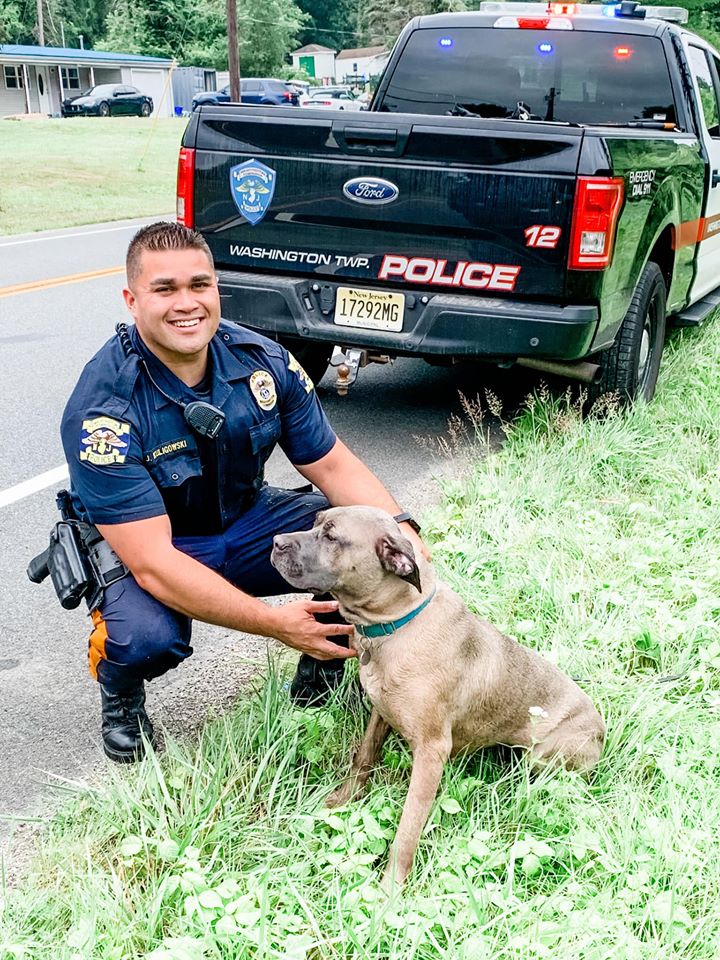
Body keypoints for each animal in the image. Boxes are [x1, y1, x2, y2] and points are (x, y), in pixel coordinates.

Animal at [272, 506, 604, 888]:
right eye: (316, 522)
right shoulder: (381, 712)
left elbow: (409, 825)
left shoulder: (431, 752)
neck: (397, 624)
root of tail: (602, 731)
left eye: (331, 535)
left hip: (545, 757)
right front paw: (345, 799)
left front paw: (391, 887)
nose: (275, 542)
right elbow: (364, 757)